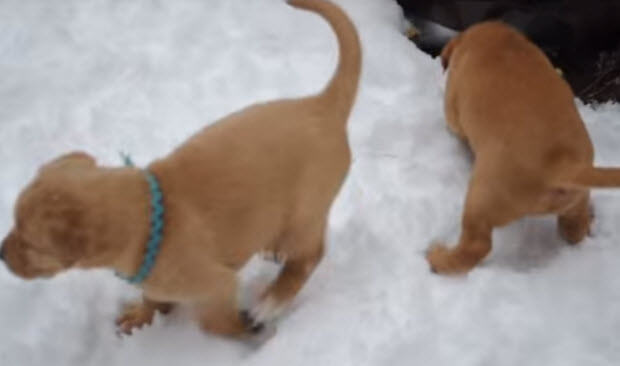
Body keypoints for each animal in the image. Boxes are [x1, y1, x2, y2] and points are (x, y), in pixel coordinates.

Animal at [0, 0, 360, 338]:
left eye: (30, 244)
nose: (1, 254)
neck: (153, 217)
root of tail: (322, 104)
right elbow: (152, 297)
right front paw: (141, 316)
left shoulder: (217, 284)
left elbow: (215, 323)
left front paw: (245, 332)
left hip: (305, 213)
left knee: (309, 257)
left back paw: (270, 302)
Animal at [428, 21, 620, 274]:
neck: (498, 39)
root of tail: (563, 164)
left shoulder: (453, 108)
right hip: (576, 199)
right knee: (574, 229)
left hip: (481, 200)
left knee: (477, 246)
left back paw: (439, 259)